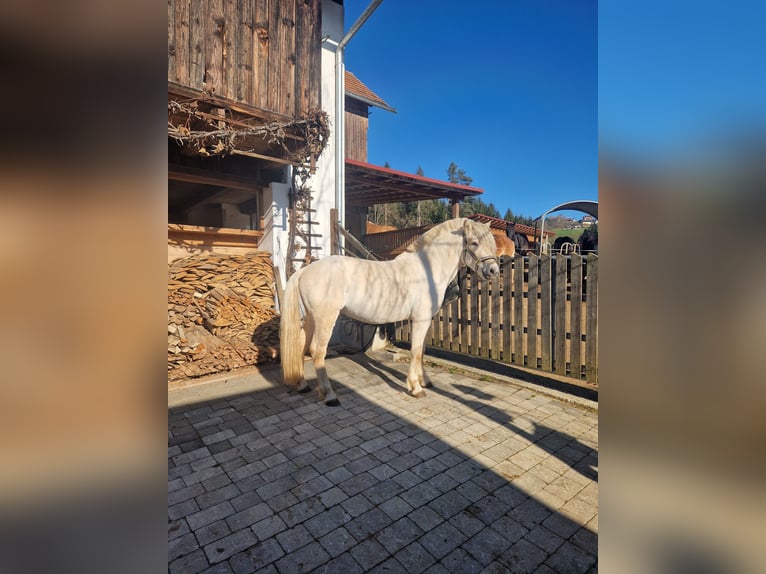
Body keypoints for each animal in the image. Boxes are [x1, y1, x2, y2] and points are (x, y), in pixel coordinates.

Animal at [280, 218, 500, 408]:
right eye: (474, 242)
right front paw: (416, 387)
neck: (427, 270)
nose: (493, 271)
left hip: (310, 320)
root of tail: (304, 271)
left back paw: (302, 385)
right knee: (317, 352)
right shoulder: (420, 320)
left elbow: (421, 351)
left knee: (301, 347)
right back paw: (330, 395)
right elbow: (415, 351)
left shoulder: (424, 320)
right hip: (325, 320)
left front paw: (425, 381)